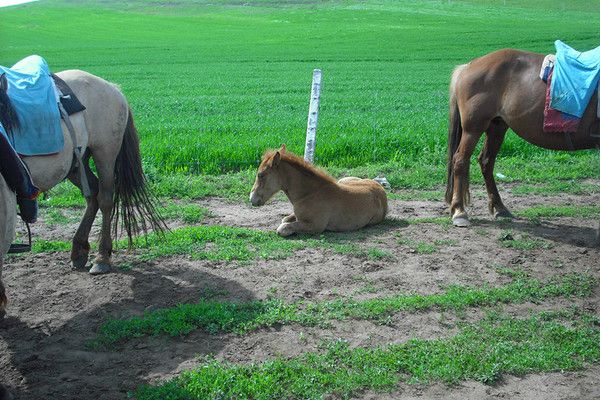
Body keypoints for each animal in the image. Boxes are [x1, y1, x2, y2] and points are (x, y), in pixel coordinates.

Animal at [250, 145, 386, 236]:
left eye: (261, 175)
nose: (252, 199)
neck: (309, 194)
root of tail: (380, 188)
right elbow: (285, 219)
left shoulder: (315, 226)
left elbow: (282, 228)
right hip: (343, 180)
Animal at [446, 48, 600, 242]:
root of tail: (468, 66)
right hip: (473, 128)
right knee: (460, 161)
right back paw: (459, 212)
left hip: (497, 126)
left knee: (486, 162)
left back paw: (499, 208)